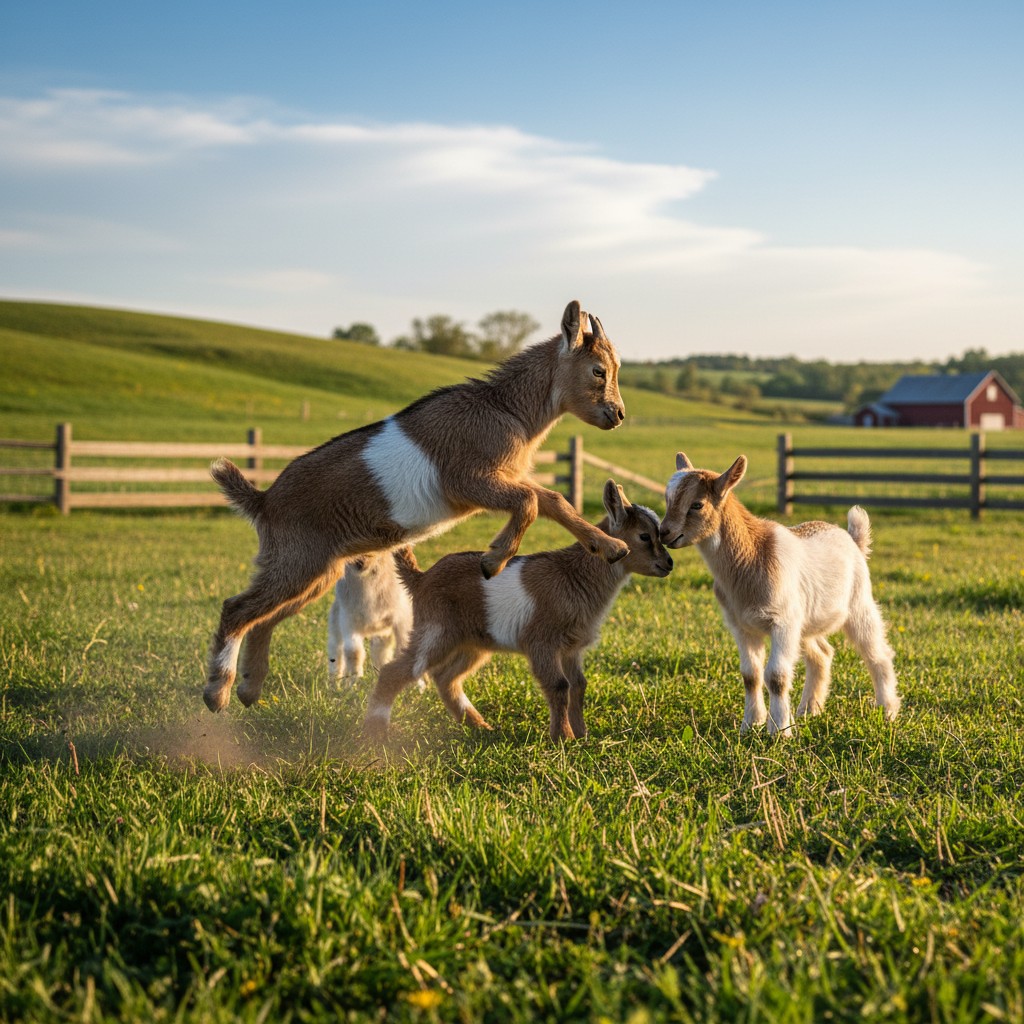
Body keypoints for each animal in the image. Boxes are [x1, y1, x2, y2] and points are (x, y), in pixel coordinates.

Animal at [327, 552, 426, 691]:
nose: (359, 562)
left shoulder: (401, 618)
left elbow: (403, 648)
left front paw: (415, 687)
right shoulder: (348, 619)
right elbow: (354, 653)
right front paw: (353, 684)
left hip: (384, 632)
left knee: (381, 653)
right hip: (336, 623)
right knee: (336, 650)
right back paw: (334, 683)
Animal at [361, 480, 674, 742]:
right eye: (644, 536)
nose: (668, 564)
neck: (574, 574)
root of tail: (421, 578)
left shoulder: (572, 647)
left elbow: (578, 686)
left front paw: (582, 734)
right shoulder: (542, 642)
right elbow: (559, 686)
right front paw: (563, 738)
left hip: (472, 641)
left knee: (445, 677)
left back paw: (479, 725)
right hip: (436, 630)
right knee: (397, 671)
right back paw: (376, 731)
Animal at [660, 452, 901, 735]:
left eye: (697, 504)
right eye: (667, 498)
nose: (664, 533)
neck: (751, 556)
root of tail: (853, 539)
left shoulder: (782, 622)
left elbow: (776, 676)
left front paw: (779, 730)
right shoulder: (742, 625)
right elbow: (750, 676)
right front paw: (751, 724)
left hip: (858, 603)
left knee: (877, 653)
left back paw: (887, 710)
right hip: (805, 621)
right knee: (822, 654)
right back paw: (809, 710)